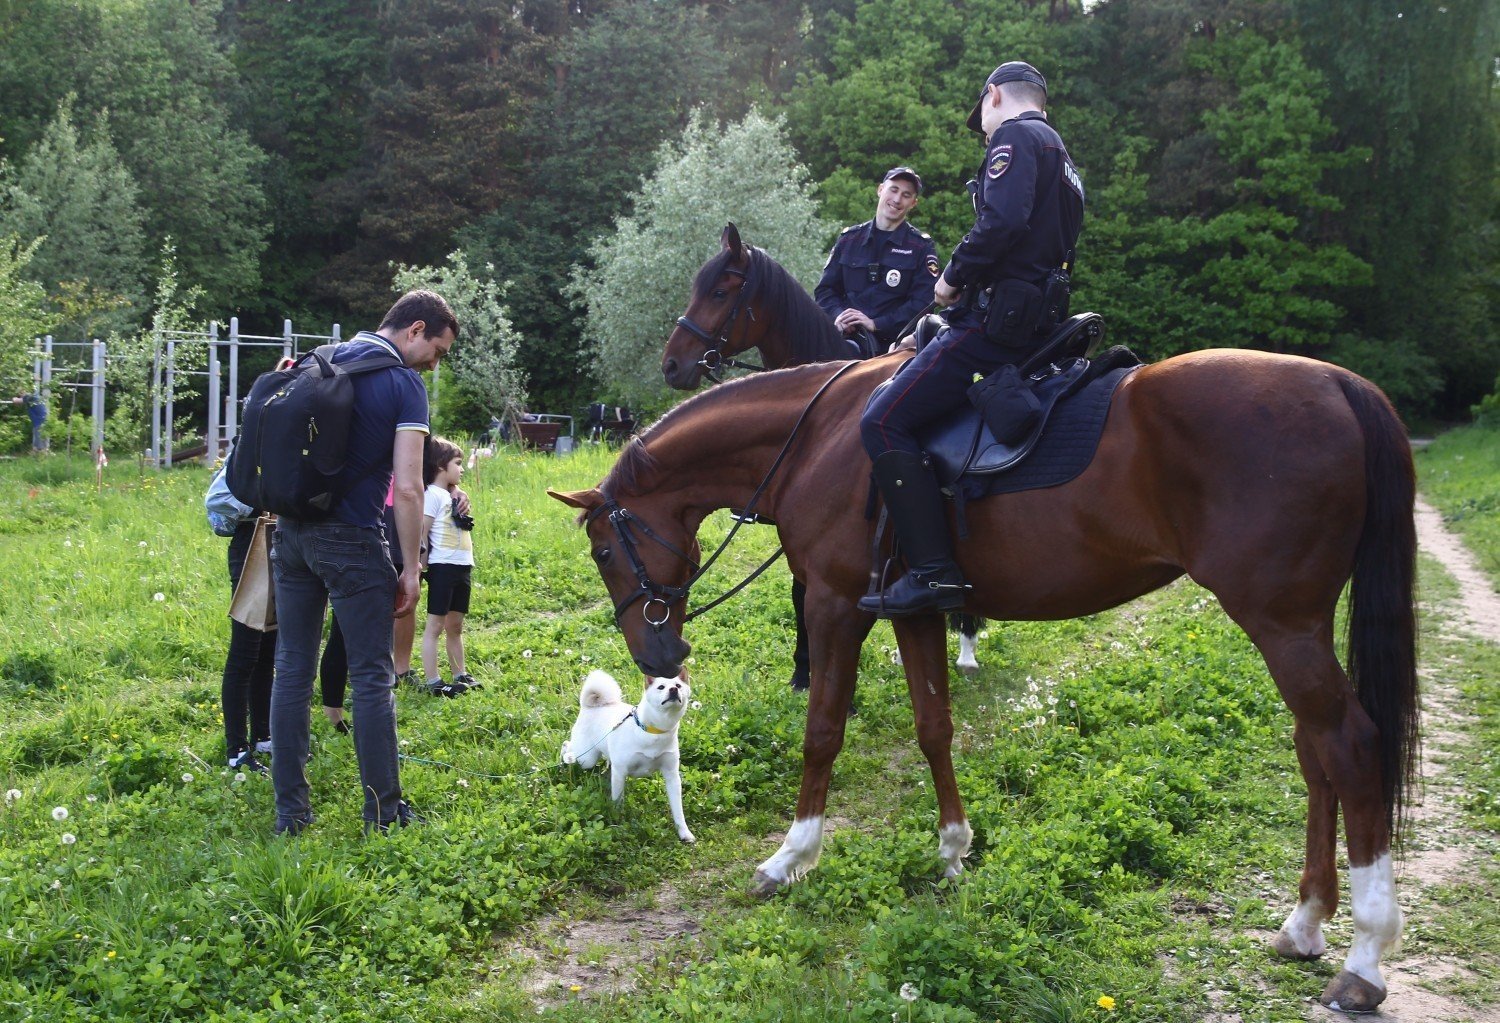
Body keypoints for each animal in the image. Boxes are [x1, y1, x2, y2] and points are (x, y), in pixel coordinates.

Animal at [561, 666, 693, 840]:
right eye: (661, 687)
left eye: (678, 686)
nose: (673, 690)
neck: (654, 731)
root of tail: (591, 706)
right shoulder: (620, 772)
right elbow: (618, 801)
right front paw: (618, 822)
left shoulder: (672, 776)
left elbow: (678, 810)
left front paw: (684, 833)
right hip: (586, 758)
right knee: (567, 746)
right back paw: (565, 757)